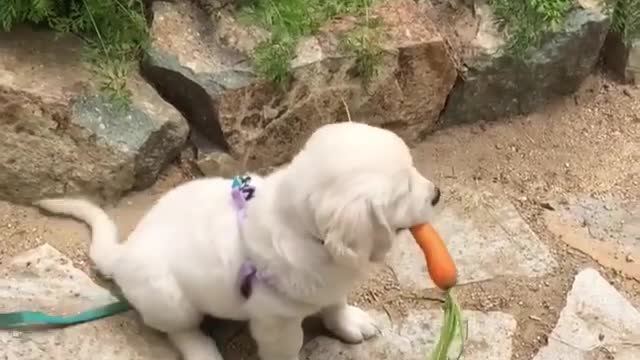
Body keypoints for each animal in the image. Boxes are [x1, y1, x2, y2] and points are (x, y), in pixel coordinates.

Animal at [35, 121, 442, 360]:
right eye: (403, 191)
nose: (437, 194)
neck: (307, 235)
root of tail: (122, 253)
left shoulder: (330, 282)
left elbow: (335, 303)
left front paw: (349, 322)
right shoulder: (276, 322)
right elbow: (288, 348)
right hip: (170, 299)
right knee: (178, 330)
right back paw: (202, 350)